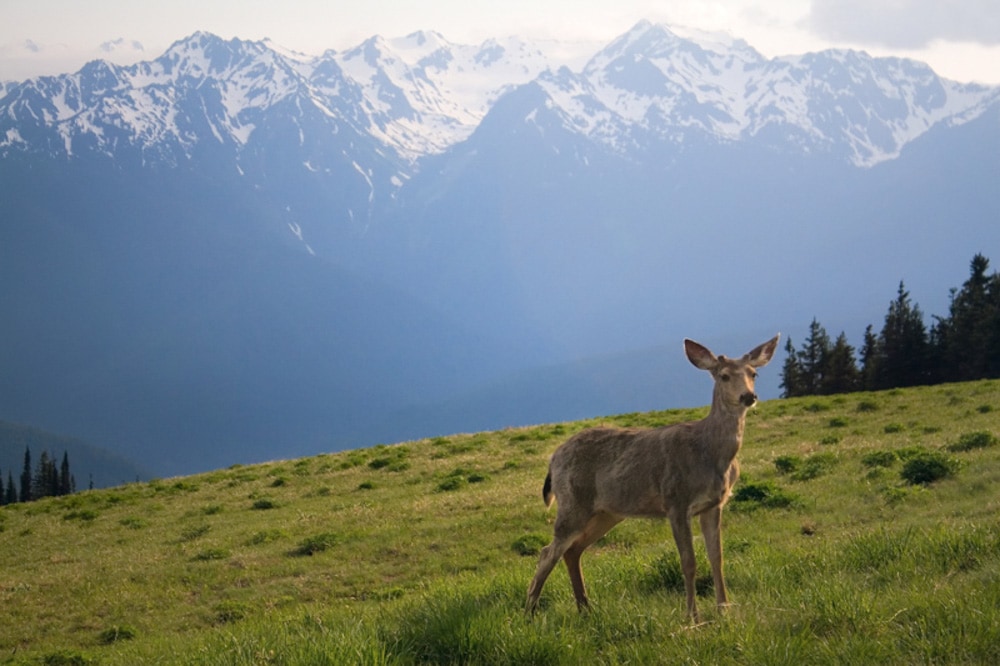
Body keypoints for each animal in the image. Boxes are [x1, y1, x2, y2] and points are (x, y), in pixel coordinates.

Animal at [524, 334, 780, 620]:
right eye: (723, 376)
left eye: (753, 373)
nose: (748, 396)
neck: (710, 454)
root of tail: (553, 459)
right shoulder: (675, 501)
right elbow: (688, 561)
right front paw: (692, 616)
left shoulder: (714, 504)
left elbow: (717, 557)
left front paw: (724, 609)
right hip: (572, 502)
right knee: (548, 552)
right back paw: (529, 612)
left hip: (606, 512)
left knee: (573, 550)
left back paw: (585, 608)